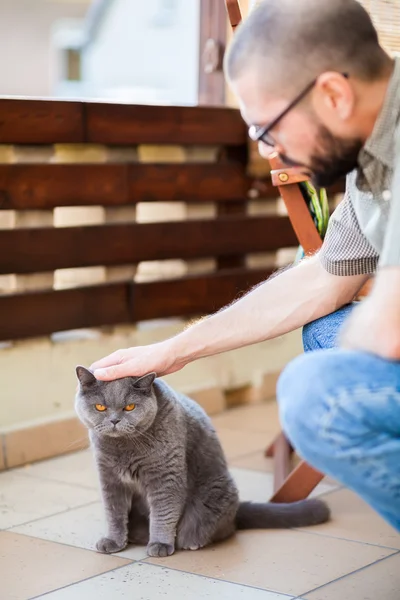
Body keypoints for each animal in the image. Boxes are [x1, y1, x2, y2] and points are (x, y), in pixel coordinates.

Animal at [76, 366, 332, 556]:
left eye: (129, 406)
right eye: (100, 407)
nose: (114, 421)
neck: (124, 448)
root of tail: (236, 511)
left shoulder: (166, 477)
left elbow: (164, 513)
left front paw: (160, 545)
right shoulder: (109, 479)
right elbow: (114, 513)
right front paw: (113, 541)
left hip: (215, 492)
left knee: (224, 530)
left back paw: (192, 542)